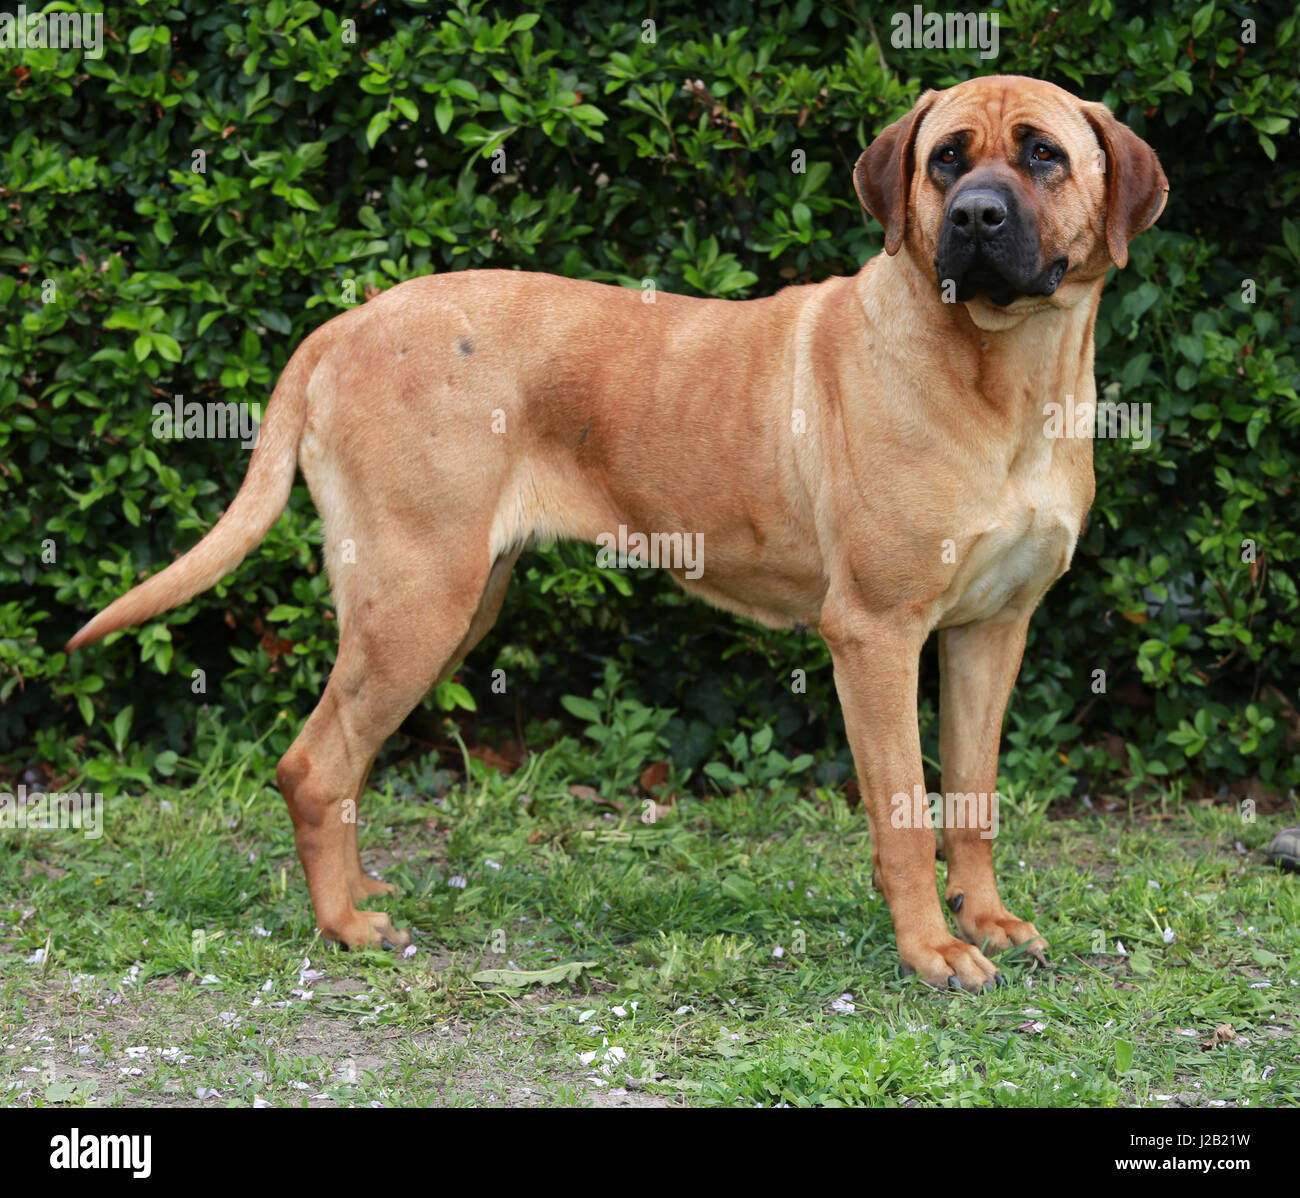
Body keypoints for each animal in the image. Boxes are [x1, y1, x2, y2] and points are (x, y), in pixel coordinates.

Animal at [68, 76, 1170, 987]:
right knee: (311, 764)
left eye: (1041, 154)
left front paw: (984, 920)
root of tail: (345, 325)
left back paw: (358, 892)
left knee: (340, 758)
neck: (1004, 376)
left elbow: (973, 798)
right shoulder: (876, 635)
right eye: (946, 158)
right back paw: (345, 926)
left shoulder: (992, 630)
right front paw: (930, 949)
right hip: (417, 602)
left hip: (444, 607)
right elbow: (905, 813)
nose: (978, 216)